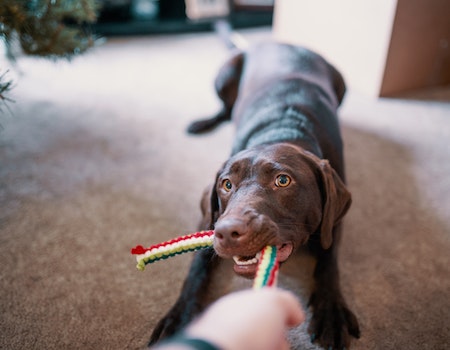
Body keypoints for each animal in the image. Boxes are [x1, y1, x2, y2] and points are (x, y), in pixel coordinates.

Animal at [149, 42, 360, 348]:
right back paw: (202, 123)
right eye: (226, 184)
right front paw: (180, 316)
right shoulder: (210, 218)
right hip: (225, 73)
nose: (228, 232)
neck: (282, 129)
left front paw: (331, 310)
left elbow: (329, 261)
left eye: (283, 181)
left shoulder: (334, 220)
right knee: (226, 110)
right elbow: (196, 267)